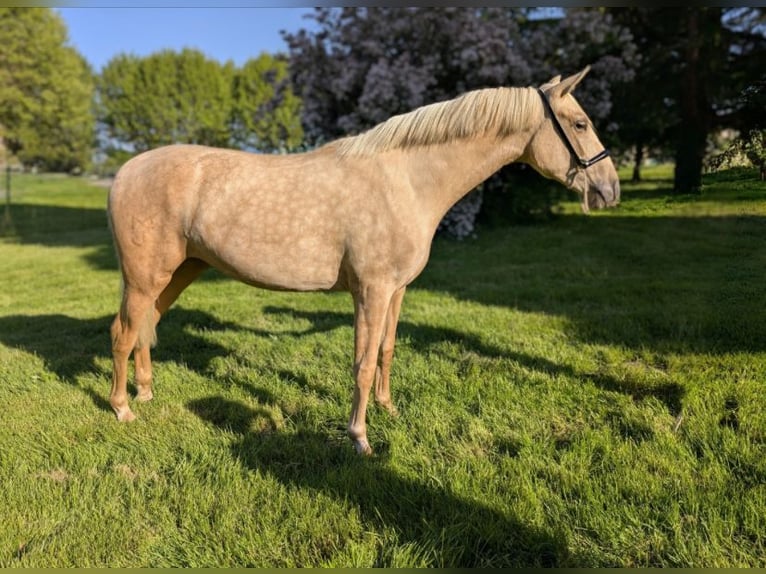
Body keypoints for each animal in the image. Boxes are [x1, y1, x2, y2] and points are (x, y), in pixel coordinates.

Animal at [107, 66, 620, 455]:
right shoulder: (370, 291)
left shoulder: (396, 290)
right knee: (123, 332)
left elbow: (386, 351)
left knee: (147, 326)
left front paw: (388, 408)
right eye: (579, 124)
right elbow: (363, 361)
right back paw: (122, 408)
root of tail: (125, 169)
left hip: (179, 271)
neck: (406, 180)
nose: (609, 189)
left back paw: (146, 392)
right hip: (144, 276)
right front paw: (360, 438)